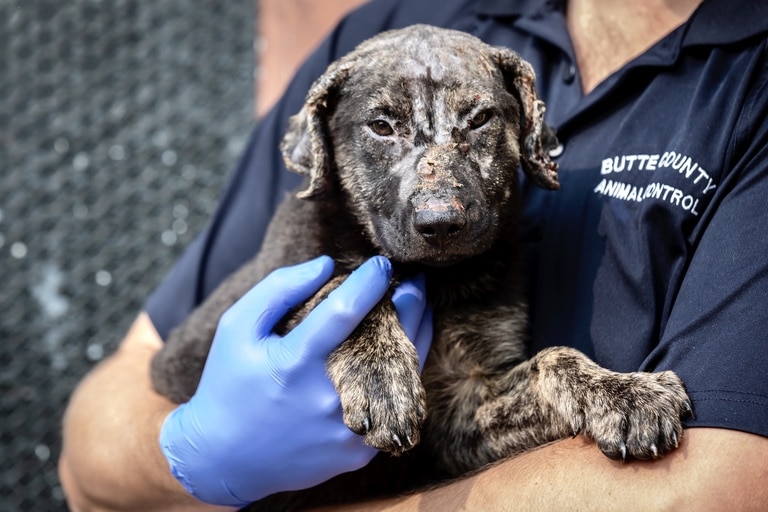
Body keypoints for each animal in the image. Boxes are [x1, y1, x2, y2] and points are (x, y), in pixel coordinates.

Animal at [150, 25, 688, 512]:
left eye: (480, 119)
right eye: (381, 126)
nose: (441, 223)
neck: (434, 278)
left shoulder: (466, 406)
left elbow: (553, 360)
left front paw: (623, 392)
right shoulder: (277, 286)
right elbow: (341, 284)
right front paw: (381, 377)